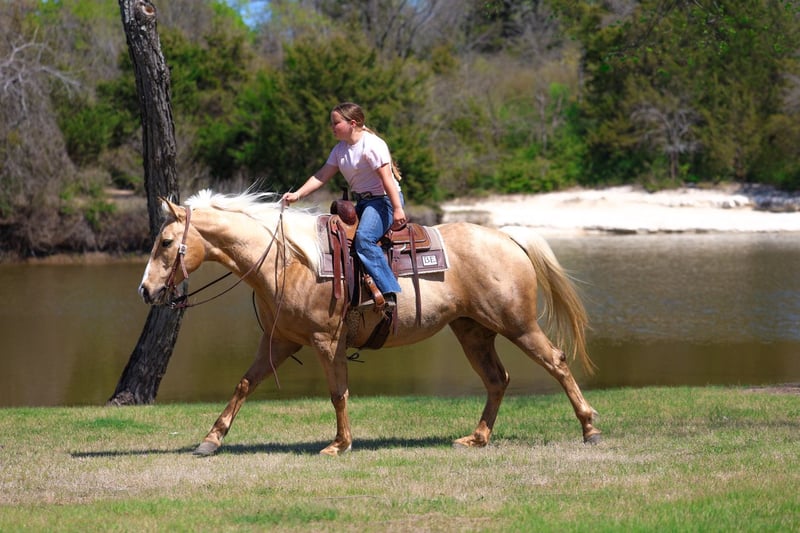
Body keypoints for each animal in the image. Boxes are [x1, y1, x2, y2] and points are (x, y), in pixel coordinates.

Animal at [138, 189, 601, 456]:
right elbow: (244, 385)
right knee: (497, 379)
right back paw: (477, 438)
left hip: (517, 325)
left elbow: (337, 393)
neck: (288, 261)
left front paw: (340, 444)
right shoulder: (279, 341)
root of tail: (507, 236)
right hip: (473, 331)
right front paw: (210, 440)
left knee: (557, 362)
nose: (145, 290)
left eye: (166, 242)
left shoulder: (326, 342)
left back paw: (590, 429)